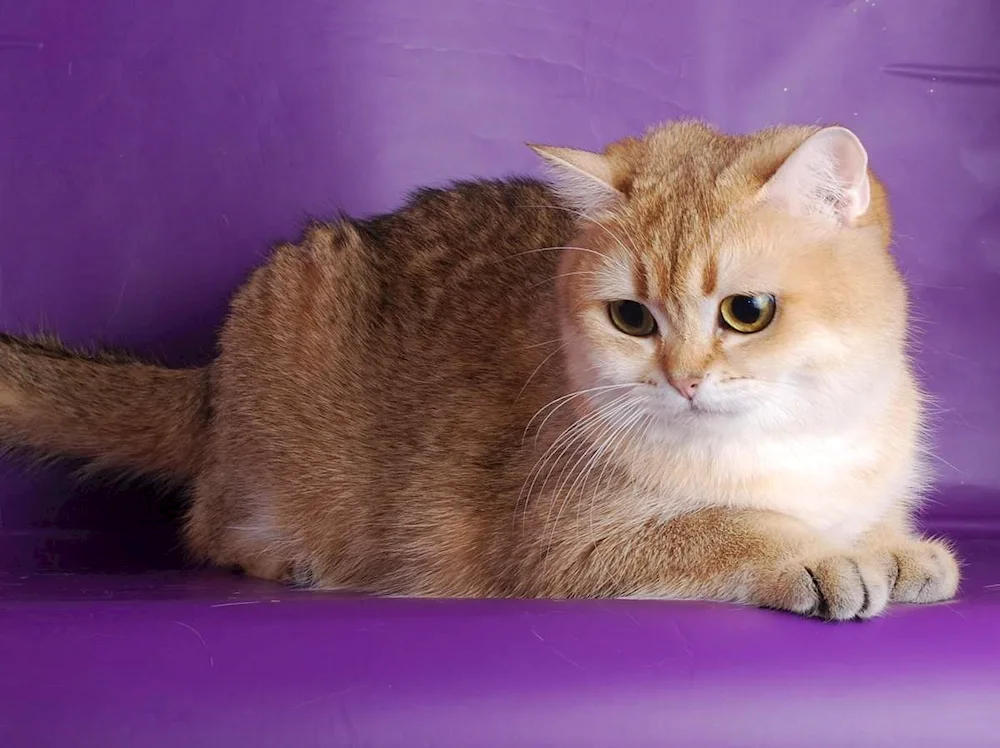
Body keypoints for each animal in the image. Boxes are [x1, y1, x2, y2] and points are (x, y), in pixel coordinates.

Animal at [0, 121, 960, 620]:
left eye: (746, 312)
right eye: (631, 319)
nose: (682, 379)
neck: (796, 436)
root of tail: (210, 382)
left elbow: (866, 520)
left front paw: (897, 547)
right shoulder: (566, 544)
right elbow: (729, 527)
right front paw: (820, 555)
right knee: (205, 524)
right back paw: (285, 557)